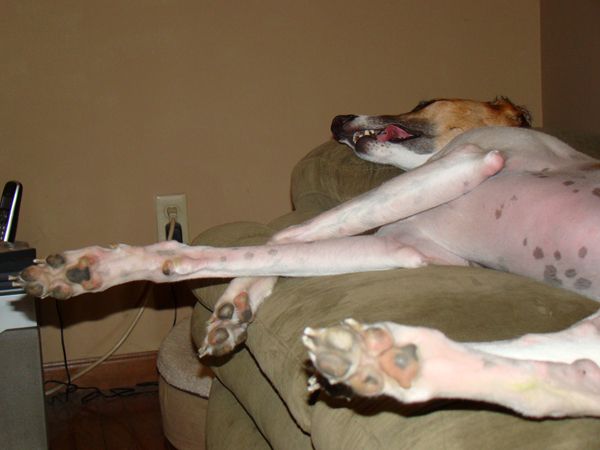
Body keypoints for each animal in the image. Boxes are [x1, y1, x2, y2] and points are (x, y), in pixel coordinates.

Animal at [14, 98, 600, 418]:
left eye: (424, 101)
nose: (337, 120)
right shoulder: (405, 247)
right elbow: (285, 244)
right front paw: (237, 302)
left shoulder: (467, 162)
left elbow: (285, 236)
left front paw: (104, 265)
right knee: (541, 375)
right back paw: (369, 359)